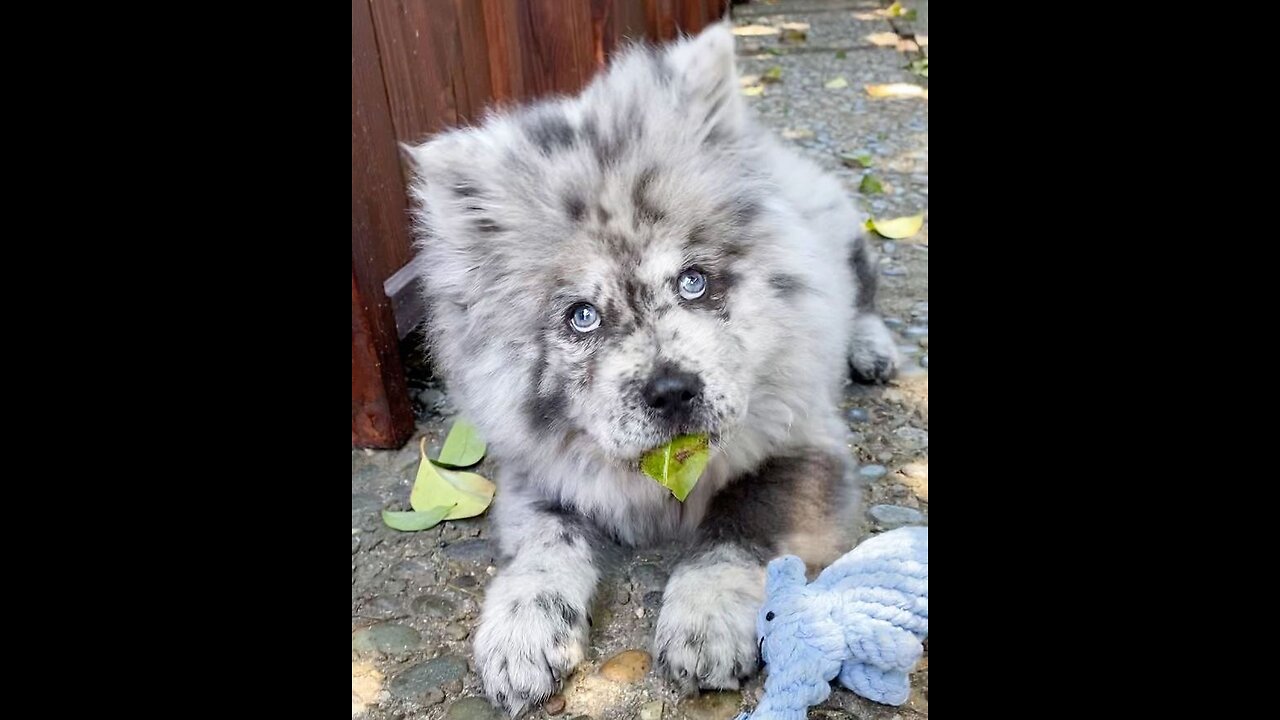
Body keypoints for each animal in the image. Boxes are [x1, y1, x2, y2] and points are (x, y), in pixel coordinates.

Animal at [404, 20, 896, 712]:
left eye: (693, 282)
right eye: (582, 317)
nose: (670, 390)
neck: (657, 479)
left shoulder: (804, 451)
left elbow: (737, 524)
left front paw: (705, 620)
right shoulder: (539, 473)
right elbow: (547, 544)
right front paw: (523, 633)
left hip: (845, 239)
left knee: (866, 292)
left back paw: (873, 351)